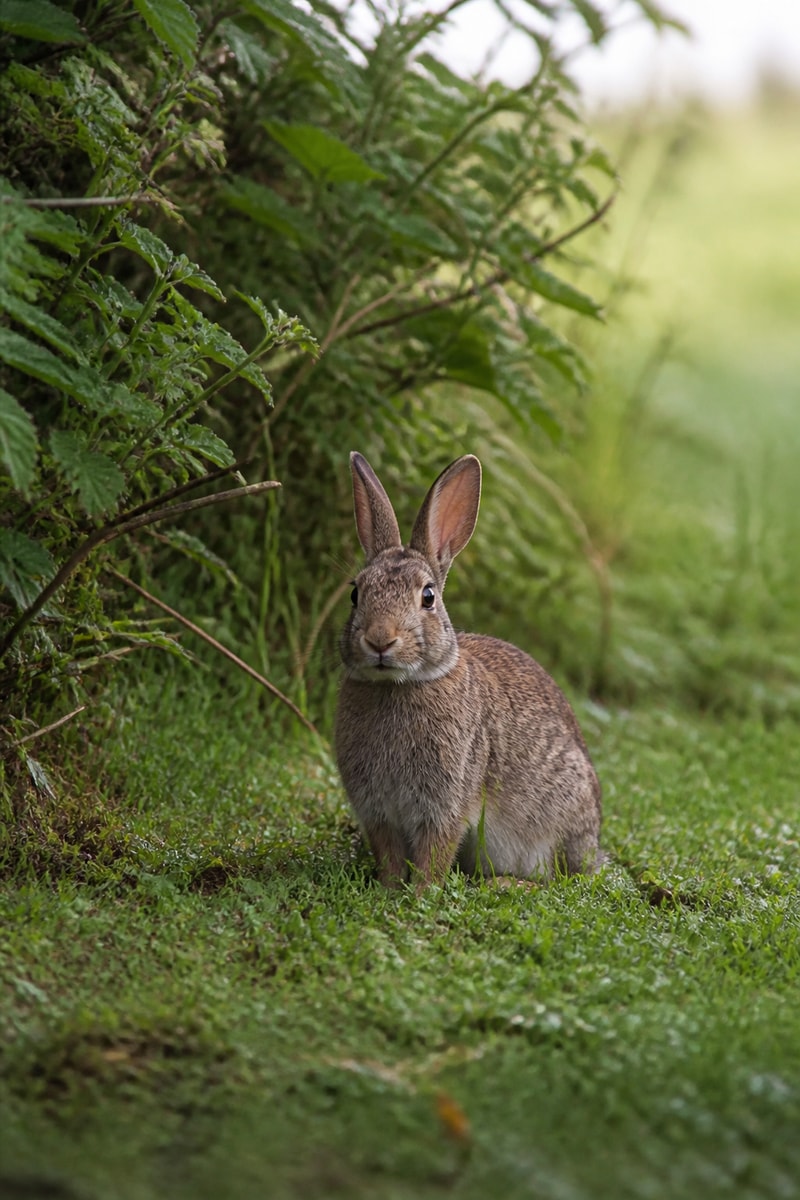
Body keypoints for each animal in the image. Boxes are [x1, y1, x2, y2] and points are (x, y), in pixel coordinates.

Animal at [335, 451, 604, 888]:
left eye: (428, 597)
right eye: (356, 593)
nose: (379, 640)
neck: (398, 685)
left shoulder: (446, 801)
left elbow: (435, 850)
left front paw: (420, 893)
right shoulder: (378, 810)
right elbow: (389, 853)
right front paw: (389, 889)